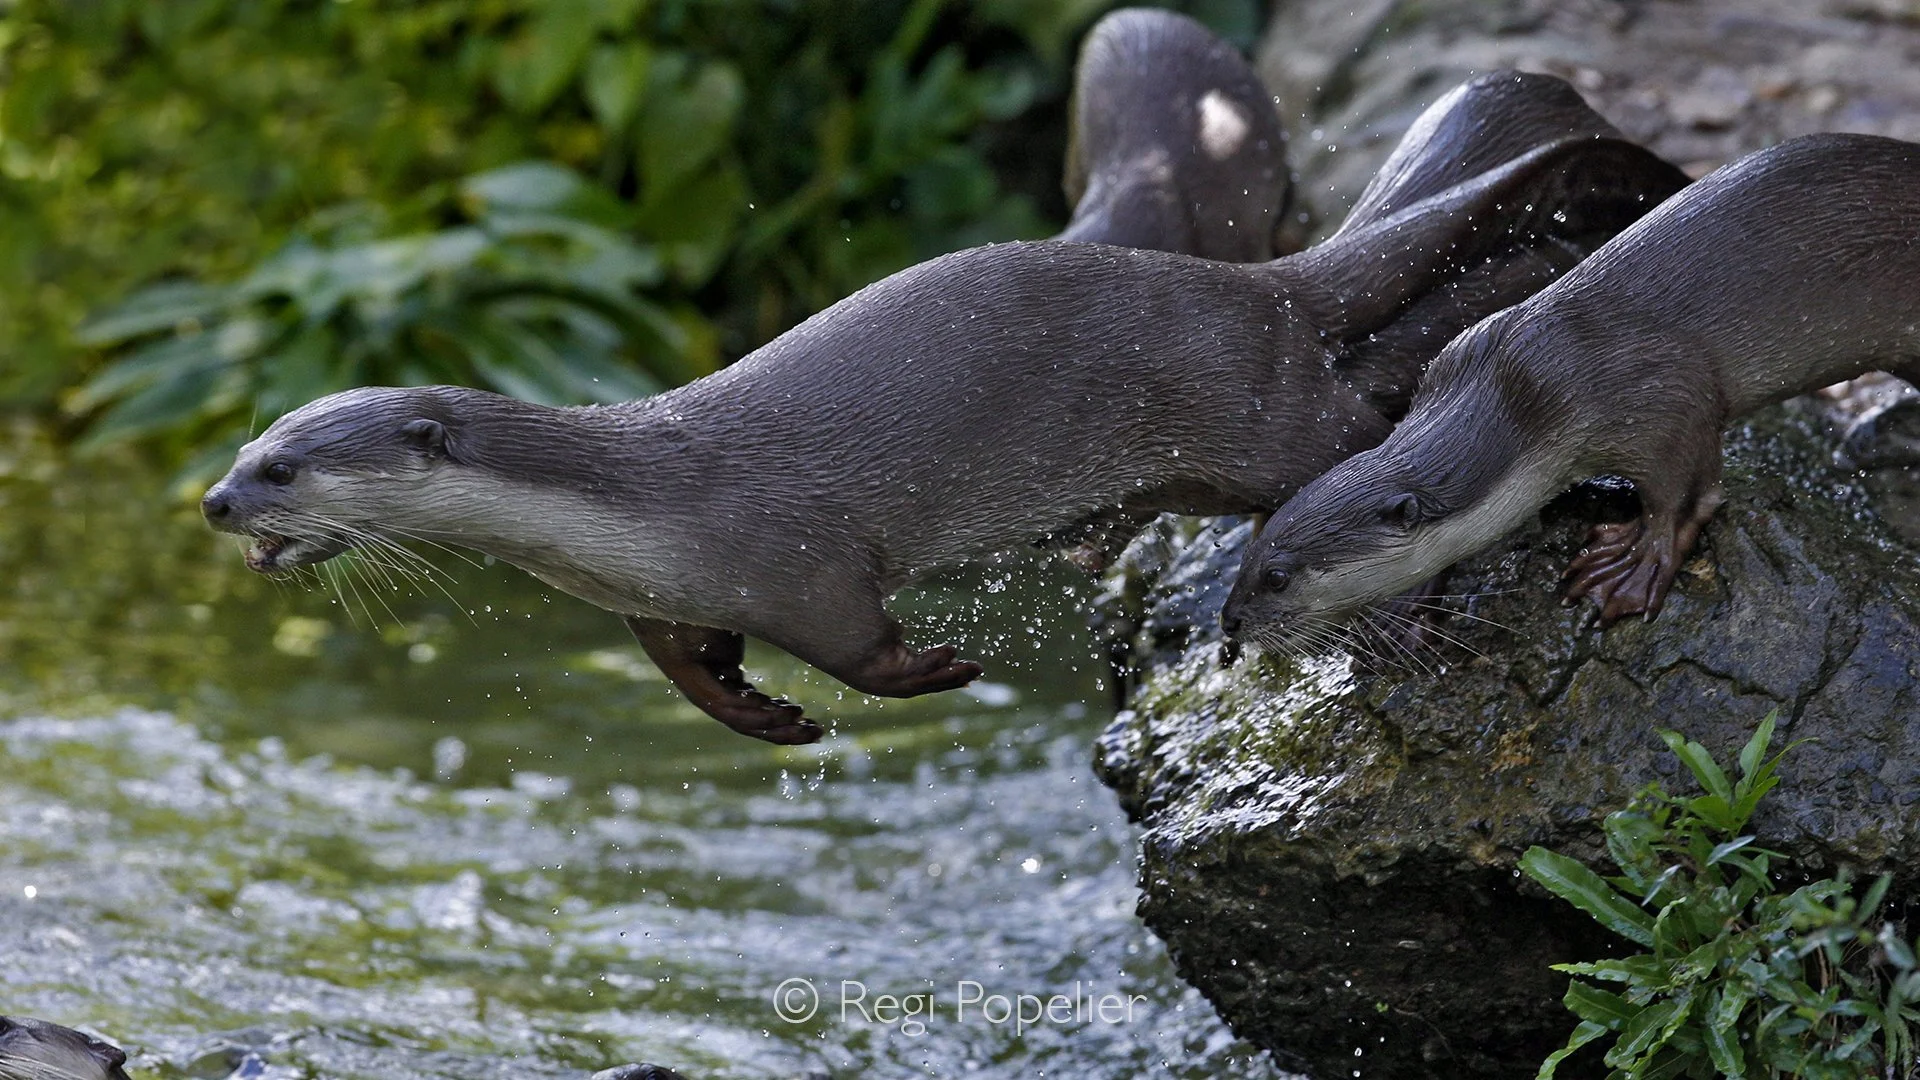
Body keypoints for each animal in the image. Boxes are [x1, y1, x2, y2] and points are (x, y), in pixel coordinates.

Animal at [202, 73, 1687, 744]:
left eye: (286, 465)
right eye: (244, 445)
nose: (214, 502)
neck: (636, 514)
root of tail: (1243, 285)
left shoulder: (793, 557)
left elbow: (857, 640)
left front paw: (931, 673)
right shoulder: (664, 600)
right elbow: (691, 668)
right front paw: (764, 719)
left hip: (1249, 411)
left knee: (1364, 453)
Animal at [1222, 132, 1920, 652]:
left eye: (1278, 578)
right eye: (1250, 555)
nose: (1229, 622)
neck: (1529, 387)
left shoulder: (1665, 401)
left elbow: (1686, 497)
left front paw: (1633, 567)